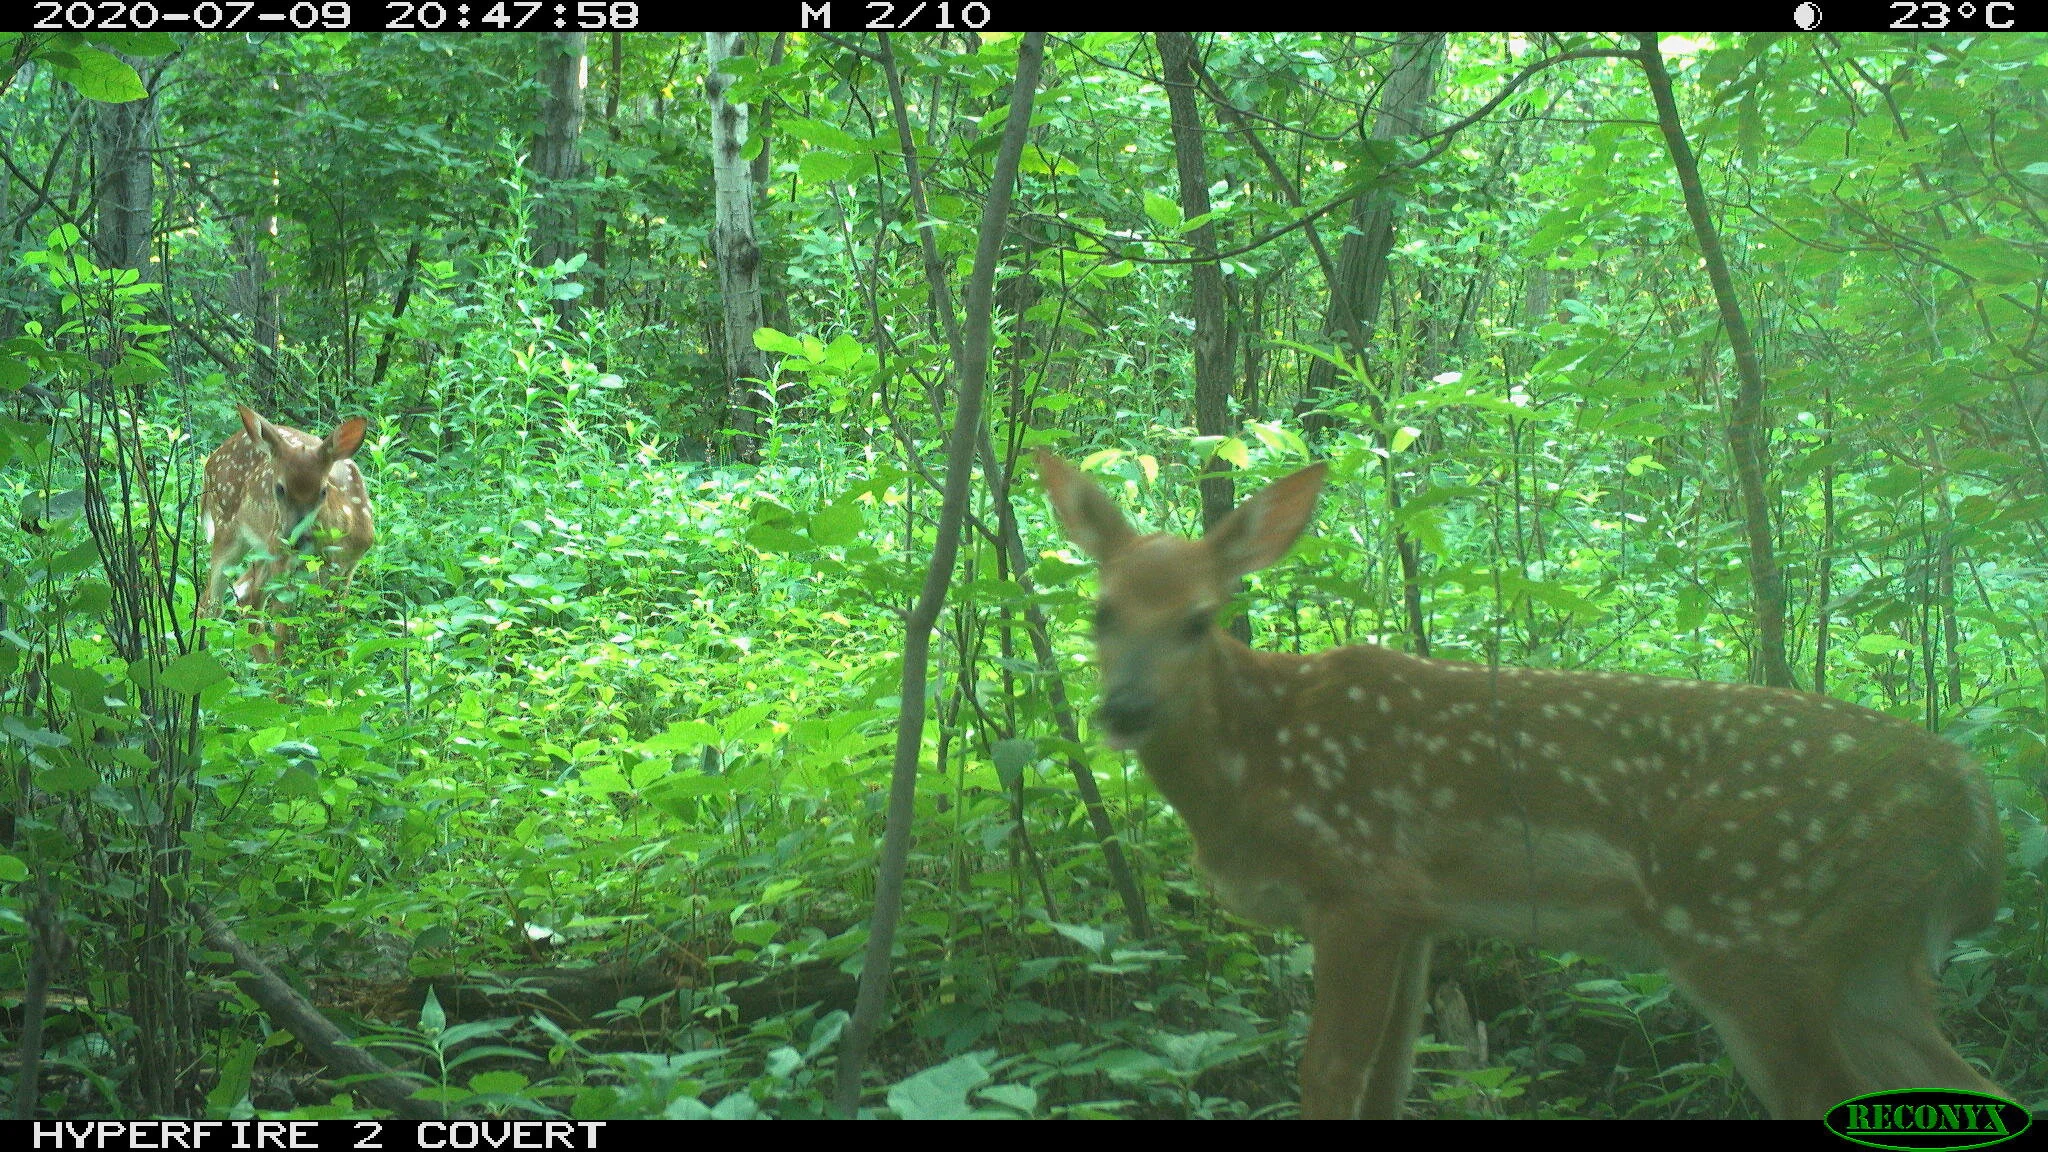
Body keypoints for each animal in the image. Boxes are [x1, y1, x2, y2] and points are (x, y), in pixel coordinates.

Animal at [201, 406, 375, 662]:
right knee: (212, 603)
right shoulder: (285, 567)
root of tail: (211, 458)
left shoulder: (347, 568)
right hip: (229, 526)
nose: (294, 540)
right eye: (279, 488)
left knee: (245, 597)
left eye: (323, 491)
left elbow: (336, 631)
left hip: (263, 549)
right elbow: (283, 635)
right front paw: (284, 673)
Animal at [1036, 451, 2006, 1120]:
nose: (1122, 708)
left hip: (1756, 935)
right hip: (1871, 963)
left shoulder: (1360, 883)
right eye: (1100, 612)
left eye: (1200, 619)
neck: (1254, 767)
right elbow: (1389, 1081)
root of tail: (1971, 801)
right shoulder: (1421, 914)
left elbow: (1330, 1072)